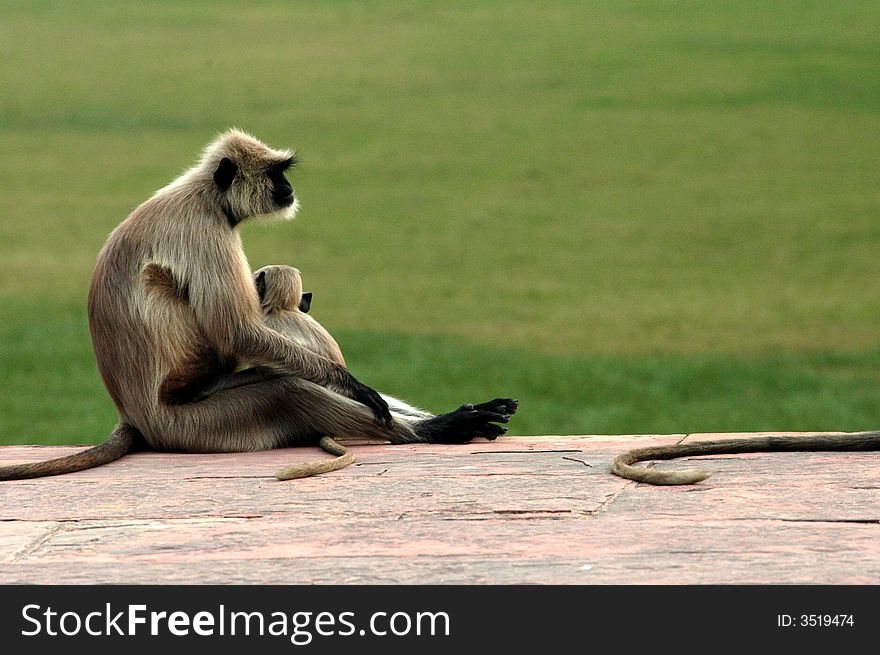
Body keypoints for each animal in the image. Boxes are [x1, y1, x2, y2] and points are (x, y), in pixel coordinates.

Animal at [0, 128, 516, 482]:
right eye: (276, 173)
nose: (288, 189)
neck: (204, 195)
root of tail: (134, 415)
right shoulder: (206, 232)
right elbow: (237, 331)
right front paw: (356, 386)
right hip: (195, 424)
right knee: (287, 390)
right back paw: (437, 429)